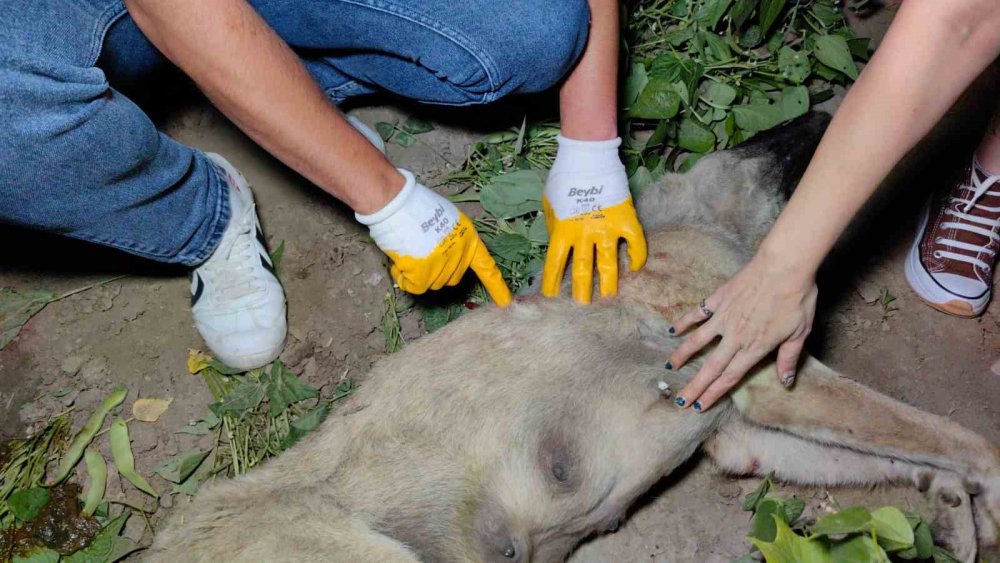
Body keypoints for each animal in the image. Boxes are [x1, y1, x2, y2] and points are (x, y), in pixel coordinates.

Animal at [148, 112, 1000, 560]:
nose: (824, 113)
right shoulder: (772, 383)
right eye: (772, 131)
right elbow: (956, 434)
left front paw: (950, 501)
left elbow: (906, 453)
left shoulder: (739, 432)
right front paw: (980, 486)